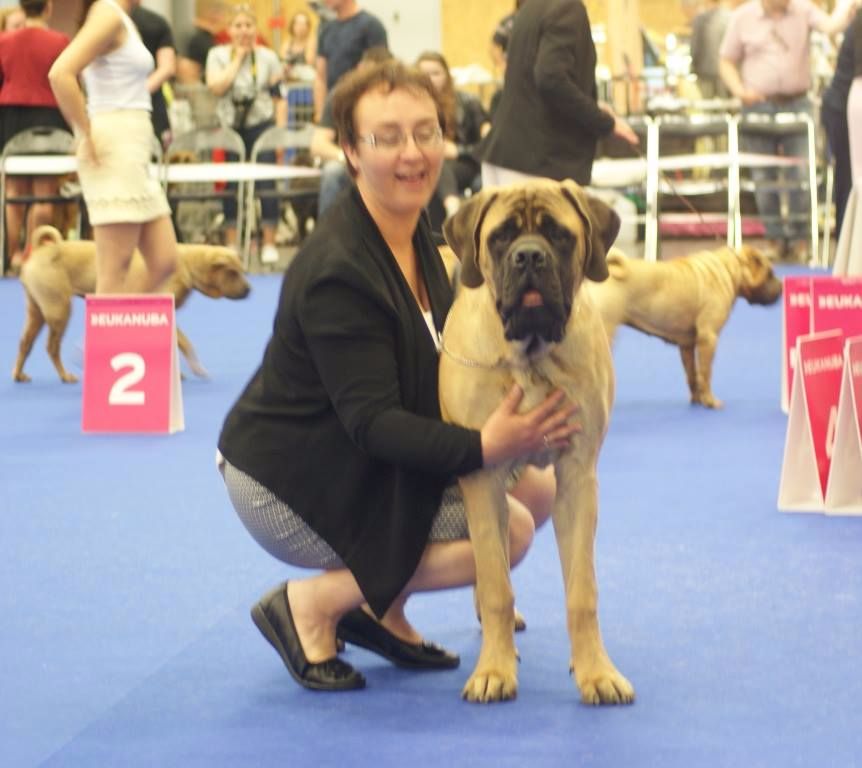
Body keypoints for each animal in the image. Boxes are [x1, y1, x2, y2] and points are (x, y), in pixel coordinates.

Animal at [13, 226, 251, 384]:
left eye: (242, 270)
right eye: (233, 272)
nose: (249, 290)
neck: (186, 264)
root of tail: (40, 251)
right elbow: (184, 343)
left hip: (36, 311)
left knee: (25, 343)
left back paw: (18, 374)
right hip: (59, 310)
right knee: (51, 347)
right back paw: (65, 376)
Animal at [438, 180, 636, 708]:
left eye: (559, 235)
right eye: (502, 237)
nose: (529, 256)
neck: (530, 354)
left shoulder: (577, 475)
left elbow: (582, 592)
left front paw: (595, 671)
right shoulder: (482, 476)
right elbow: (495, 585)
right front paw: (494, 670)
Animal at [588, 248, 784, 412]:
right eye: (770, 274)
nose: (782, 287)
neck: (730, 270)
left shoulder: (687, 345)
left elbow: (692, 375)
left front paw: (697, 399)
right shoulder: (708, 338)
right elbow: (705, 373)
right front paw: (710, 401)